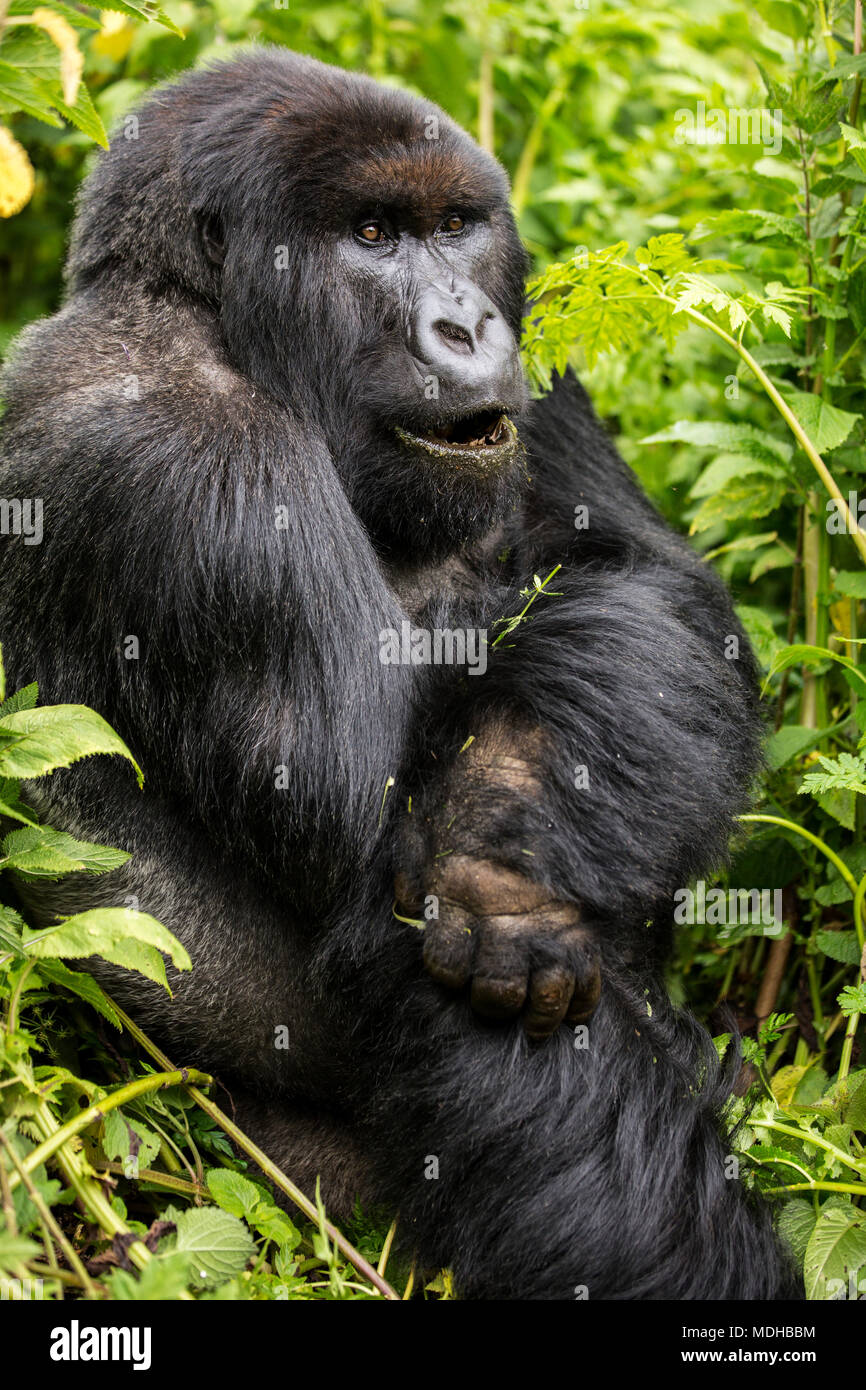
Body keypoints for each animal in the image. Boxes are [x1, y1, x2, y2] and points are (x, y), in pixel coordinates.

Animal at [0, 46, 800, 1301]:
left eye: (455, 227)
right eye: (370, 234)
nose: (465, 327)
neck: (200, 312)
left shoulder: (541, 370)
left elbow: (638, 577)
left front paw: (507, 828)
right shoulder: (188, 453)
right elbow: (368, 843)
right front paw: (496, 870)